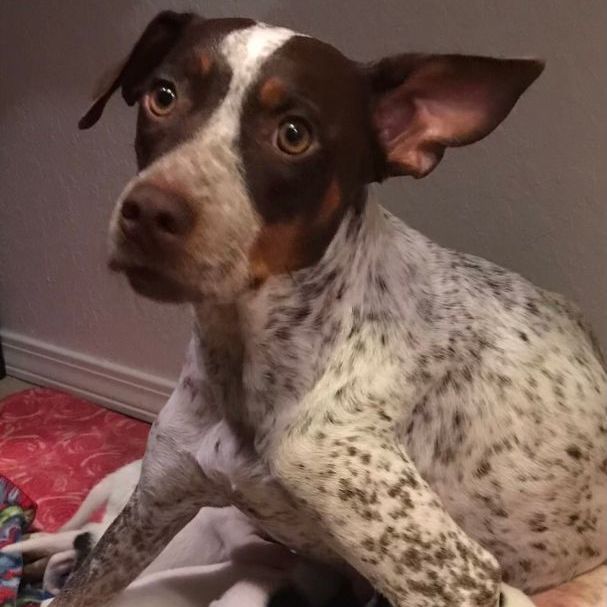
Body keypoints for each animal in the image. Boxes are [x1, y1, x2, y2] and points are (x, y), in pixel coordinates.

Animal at [50, 10, 604, 607]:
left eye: (294, 134)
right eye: (163, 95)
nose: (149, 213)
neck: (249, 357)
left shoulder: (458, 577)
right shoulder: (152, 507)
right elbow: (73, 591)